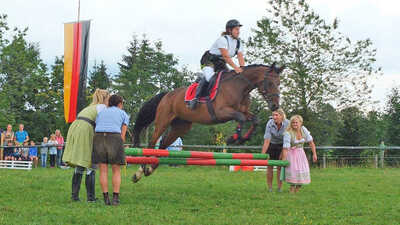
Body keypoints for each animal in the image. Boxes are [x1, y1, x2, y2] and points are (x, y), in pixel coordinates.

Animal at [130, 63, 282, 183]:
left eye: (279, 84)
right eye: (270, 83)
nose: (275, 106)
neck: (239, 87)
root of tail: (167, 94)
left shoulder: (244, 112)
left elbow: (254, 120)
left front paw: (242, 138)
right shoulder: (221, 112)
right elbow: (241, 118)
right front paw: (234, 138)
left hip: (181, 127)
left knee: (162, 145)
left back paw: (149, 169)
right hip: (163, 121)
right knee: (152, 143)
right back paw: (140, 172)